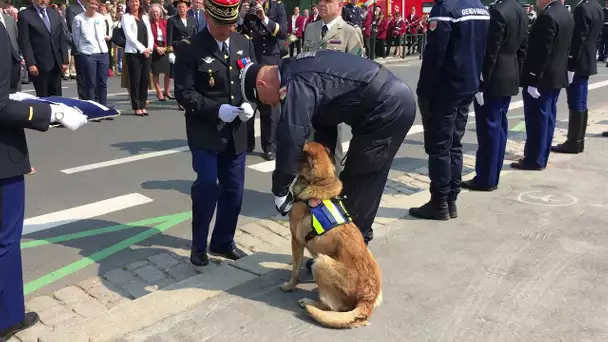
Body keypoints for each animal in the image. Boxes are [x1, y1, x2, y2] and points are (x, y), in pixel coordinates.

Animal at [280, 142, 380, 328]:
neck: (320, 182)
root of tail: (367, 299)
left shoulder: (296, 241)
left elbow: (295, 270)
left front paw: (290, 286)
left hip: (321, 263)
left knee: (334, 307)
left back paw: (308, 302)